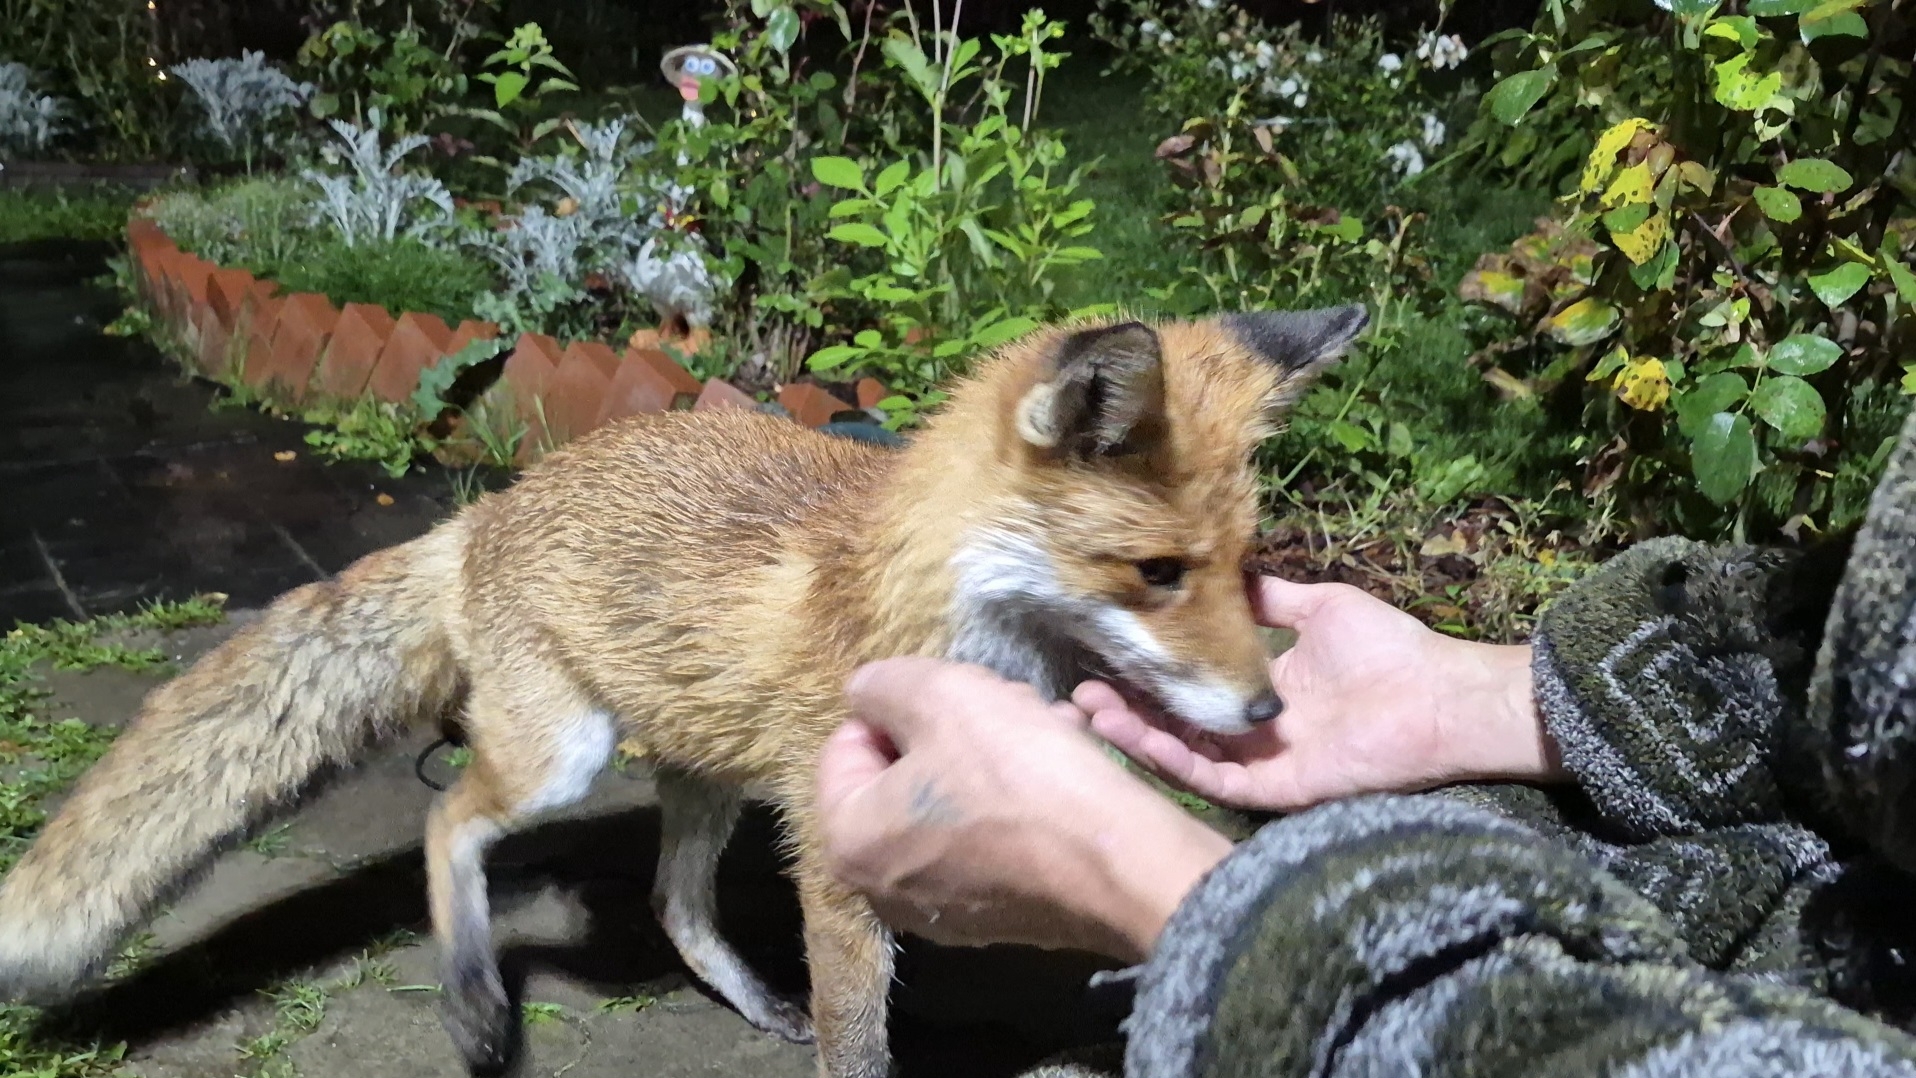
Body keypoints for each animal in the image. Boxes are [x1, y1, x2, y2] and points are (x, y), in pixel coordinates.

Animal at [0, 303, 1367, 1078]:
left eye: (1244, 564)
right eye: (1154, 572)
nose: (1267, 716)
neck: (930, 606)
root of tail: (488, 512)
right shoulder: (837, 846)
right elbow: (860, 1040)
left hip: (709, 773)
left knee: (672, 903)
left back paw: (751, 1000)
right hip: (565, 756)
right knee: (450, 822)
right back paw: (475, 1003)